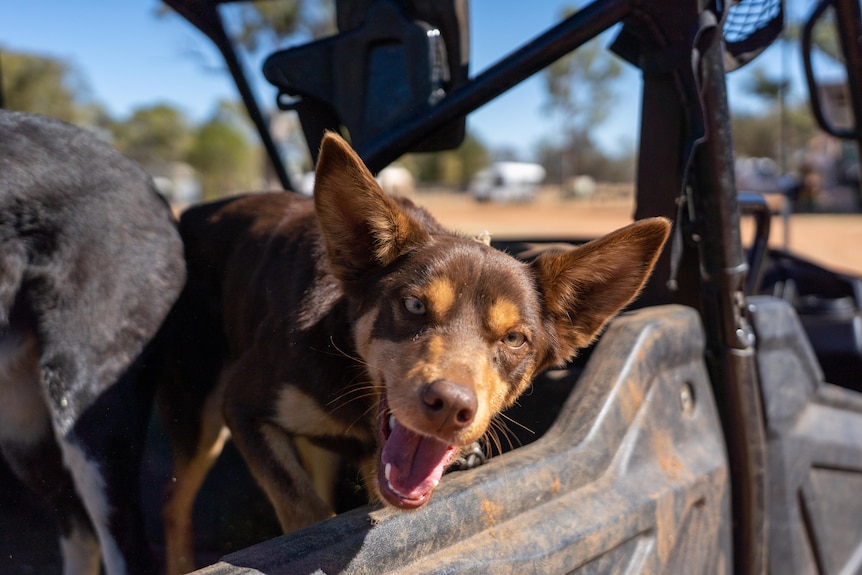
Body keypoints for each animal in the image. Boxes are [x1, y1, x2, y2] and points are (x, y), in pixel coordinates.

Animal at [160, 133, 676, 572]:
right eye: (413, 305)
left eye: (514, 339)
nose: (450, 405)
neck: (354, 384)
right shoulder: (243, 404)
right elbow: (305, 513)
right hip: (198, 409)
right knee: (175, 509)